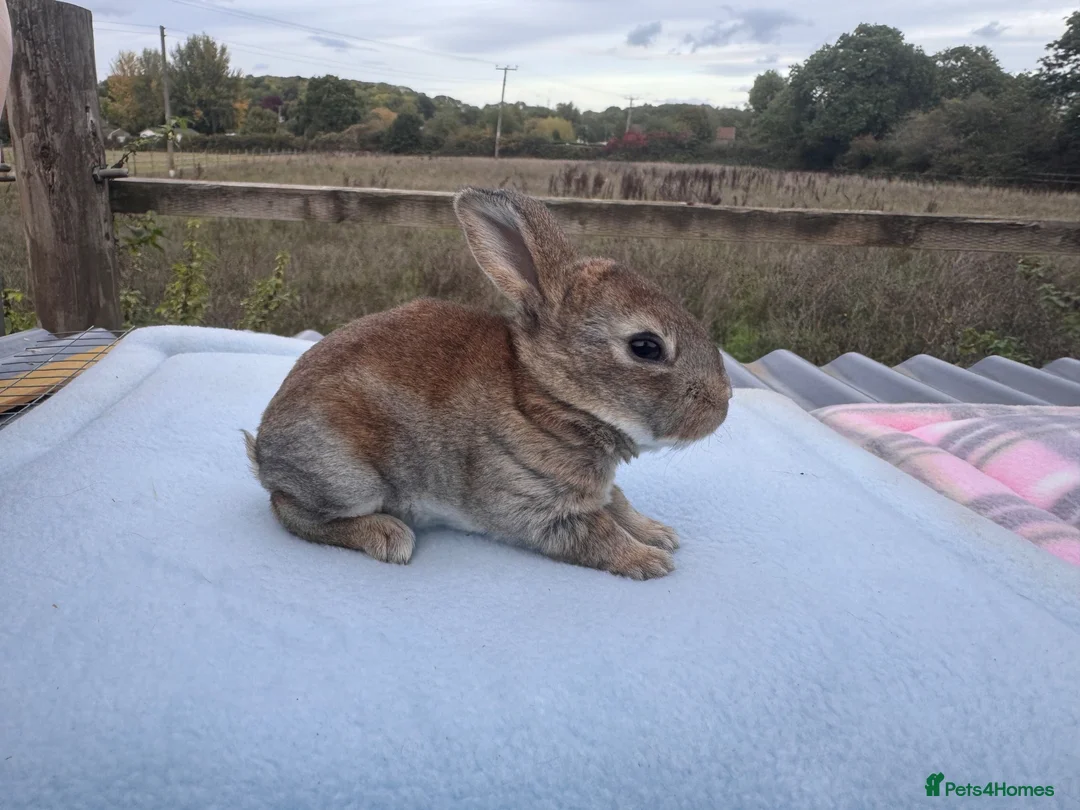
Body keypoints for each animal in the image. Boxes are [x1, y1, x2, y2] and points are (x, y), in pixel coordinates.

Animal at [244, 187, 732, 580]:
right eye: (646, 346)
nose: (722, 403)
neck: (546, 397)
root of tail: (262, 453)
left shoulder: (592, 490)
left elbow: (619, 503)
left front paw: (659, 533)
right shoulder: (533, 502)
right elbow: (597, 533)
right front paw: (649, 561)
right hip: (347, 476)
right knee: (290, 510)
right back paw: (387, 536)